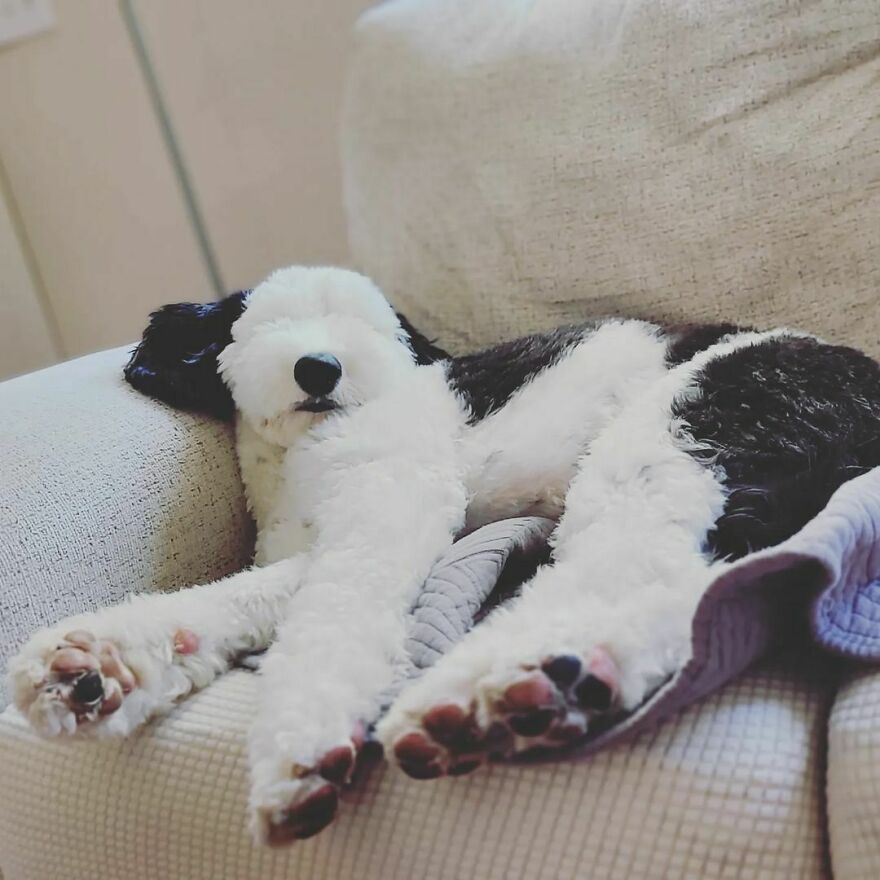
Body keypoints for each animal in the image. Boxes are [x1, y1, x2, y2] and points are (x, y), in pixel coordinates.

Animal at [6, 268, 880, 844]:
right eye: (260, 324)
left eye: (370, 330)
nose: (319, 367)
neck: (303, 457)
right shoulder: (344, 541)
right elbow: (252, 596)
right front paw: (102, 660)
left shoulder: (393, 500)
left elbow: (339, 616)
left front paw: (301, 742)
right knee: (688, 590)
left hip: (688, 427)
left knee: (636, 570)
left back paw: (509, 688)